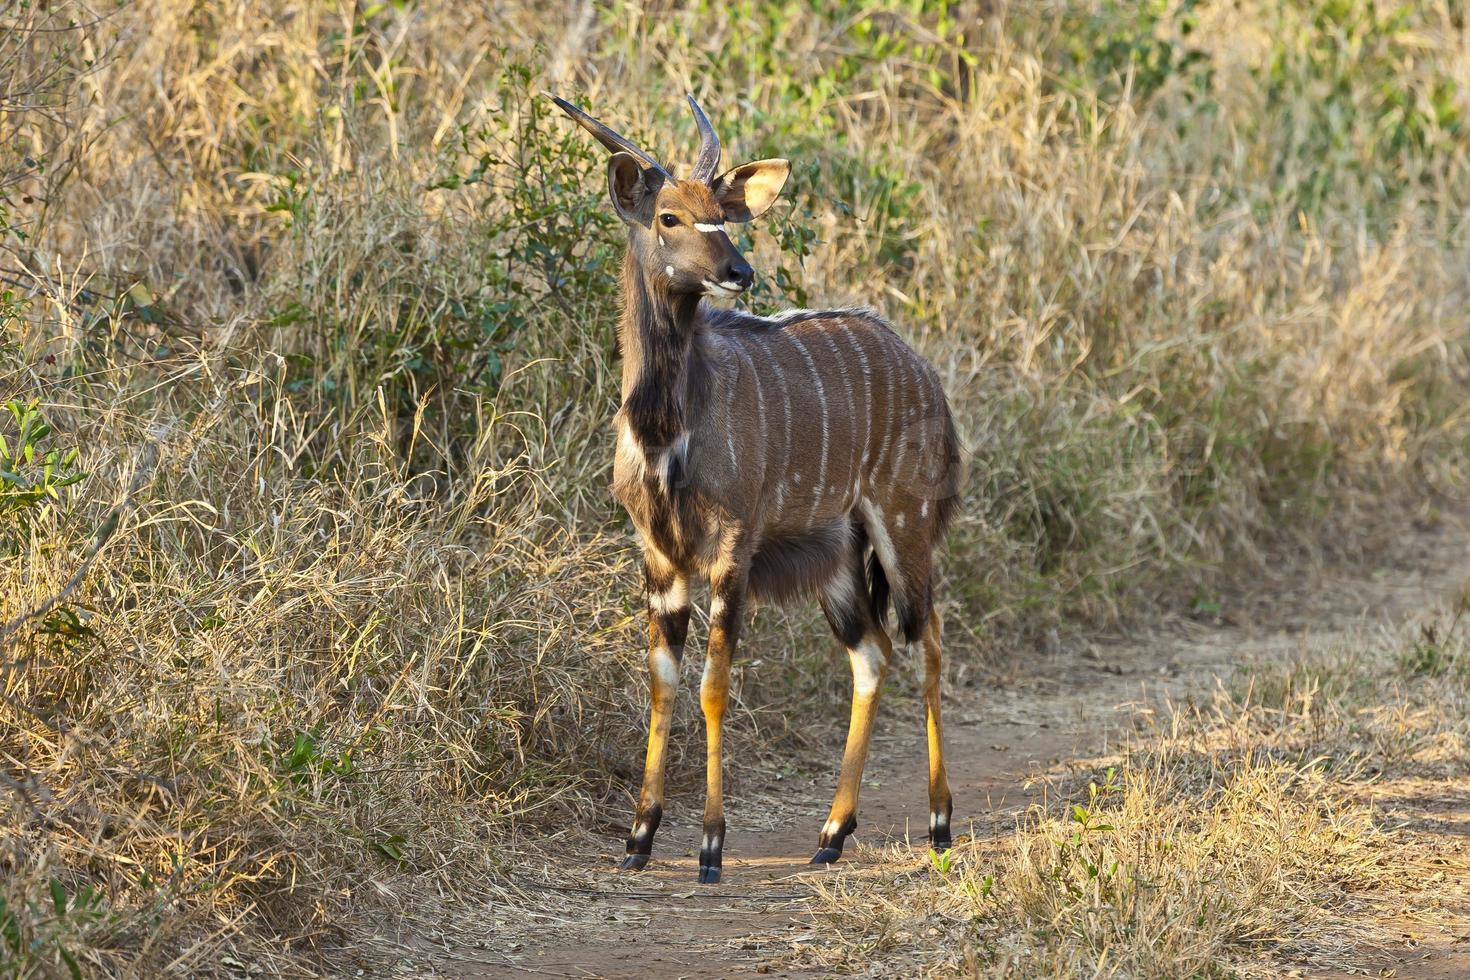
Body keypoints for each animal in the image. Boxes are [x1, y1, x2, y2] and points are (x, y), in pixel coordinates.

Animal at [552, 95, 964, 887]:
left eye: (723, 213)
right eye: (669, 216)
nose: (739, 271)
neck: (668, 430)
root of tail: (927, 374)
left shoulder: (731, 547)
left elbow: (713, 683)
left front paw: (712, 846)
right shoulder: (658, 555)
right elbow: (662, 679)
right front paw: (639, 837)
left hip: (905, 523)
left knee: (926, 640)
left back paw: (938, 823)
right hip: (839, 559)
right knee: (873, 654)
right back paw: (831, 833)